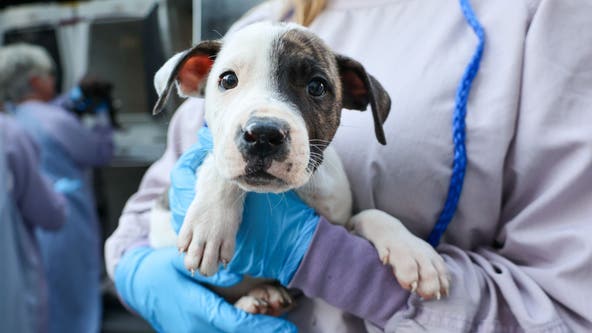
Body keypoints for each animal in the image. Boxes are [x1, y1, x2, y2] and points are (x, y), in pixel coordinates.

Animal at [149, 21, 448, 314]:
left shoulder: (340, 221)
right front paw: (210, 223)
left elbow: (372, 214)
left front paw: (414, 253)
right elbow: (217, 165)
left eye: (317, 86)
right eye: (228, 80)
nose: (263, 134)